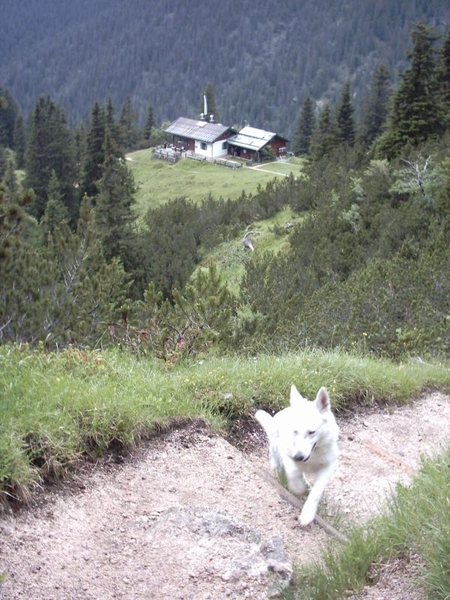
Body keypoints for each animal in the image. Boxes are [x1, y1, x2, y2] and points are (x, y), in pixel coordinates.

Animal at [255, 384, 340, 524]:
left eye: (312, 432)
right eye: (295, 431)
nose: (298, 457)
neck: (313, 454)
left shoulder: (329, 466)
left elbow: (317, 491)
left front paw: (308, 513)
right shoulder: (286, 453)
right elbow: (293, 471)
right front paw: (298, 488)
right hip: (275, 446)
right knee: (276, 462)